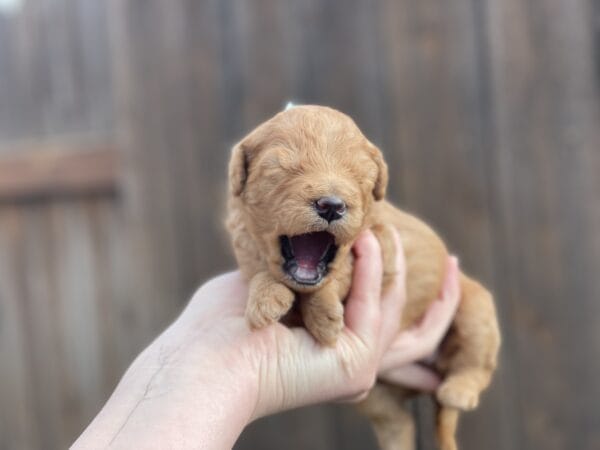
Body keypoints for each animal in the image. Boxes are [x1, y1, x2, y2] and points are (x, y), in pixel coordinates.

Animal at [226, 104, 502, 450]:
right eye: (282, 171)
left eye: (358, 176)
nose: (331, 206)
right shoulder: (246, 247)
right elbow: (261, 275)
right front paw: (265, 299)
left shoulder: (383, 245)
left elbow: (343, 270)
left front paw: (322, 313)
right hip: (373, 395)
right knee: (398, 423)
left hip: (475, 309)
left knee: (474, 365)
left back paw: (459, 390)